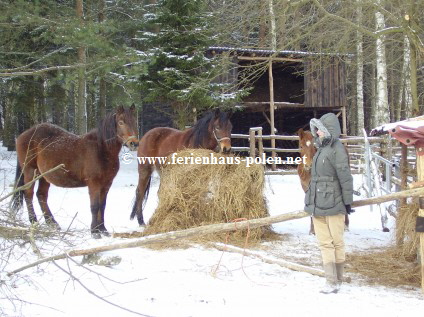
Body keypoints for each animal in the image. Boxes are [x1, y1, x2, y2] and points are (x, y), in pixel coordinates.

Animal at [12, 105, 137, 237]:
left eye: (134, 121)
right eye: (121, 122)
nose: (134, 143)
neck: (101, 149)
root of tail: (22, 135)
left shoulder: (106, 184)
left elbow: (102, 206)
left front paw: (102, 229)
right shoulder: (94, 183)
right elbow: (94, 206)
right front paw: (94, 231)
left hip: (45, 176)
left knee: (41, 195)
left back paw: (52, 223)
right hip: (30, 171)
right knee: (28, 193)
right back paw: (33, 221)